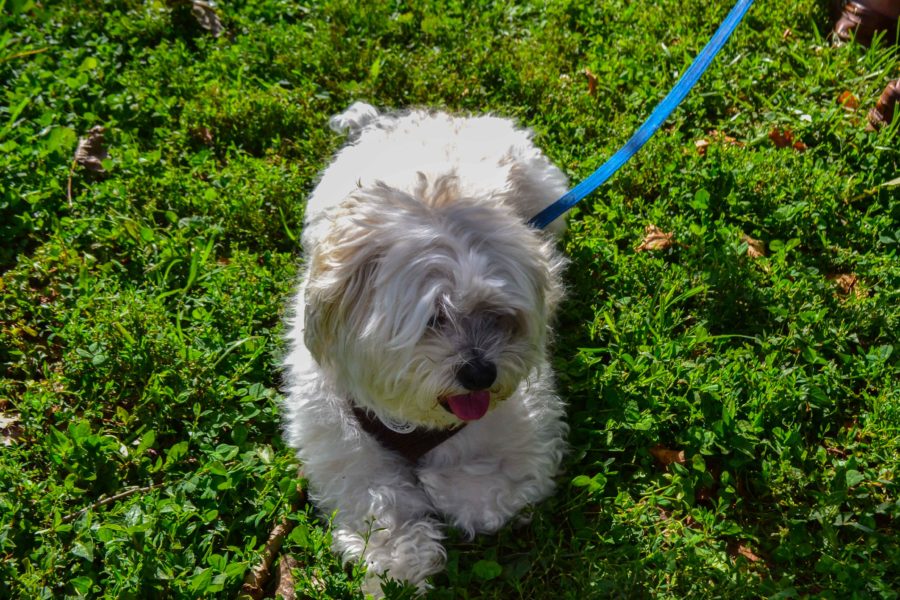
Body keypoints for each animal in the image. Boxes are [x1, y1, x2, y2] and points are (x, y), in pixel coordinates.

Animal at [282, 103, 568, 596]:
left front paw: (436, 483)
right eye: (435, 318)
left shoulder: (530, 437)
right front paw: (398, 565)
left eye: (497, 315)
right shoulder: (344, 449)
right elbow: (377, 504)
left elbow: (486, 490)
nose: (480, 373)